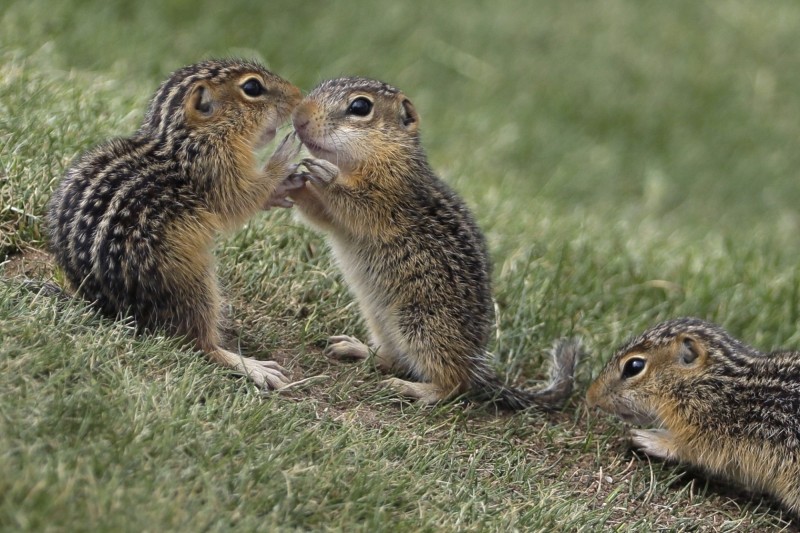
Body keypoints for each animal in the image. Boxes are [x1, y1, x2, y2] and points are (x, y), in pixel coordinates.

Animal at [47, 58, 304, 388]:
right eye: (252, 87)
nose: (299, 96)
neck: (185, 139)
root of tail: (113, 310)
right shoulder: (214, 167)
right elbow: (240, 200)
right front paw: (284, 157)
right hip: (191, 281)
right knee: (197, 342)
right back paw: (252, 367)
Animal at [288, 76, 580, 408]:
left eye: (360, 106)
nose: (299, 117)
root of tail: (475, 362)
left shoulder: (390, 194)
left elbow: (357, 203)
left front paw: (325, 175)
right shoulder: (336, 216)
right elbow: (320, 215)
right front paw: (293, 177)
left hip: (423, 326)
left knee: (454, 384)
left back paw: (413, 389)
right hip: (382, 321)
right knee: (395, 360)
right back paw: (357, 349)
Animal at [588, 316, 800, 516]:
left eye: (634, 366)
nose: (591, 397)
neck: (715, 385)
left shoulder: (710, 431)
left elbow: (686, 448)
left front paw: (650, 439)